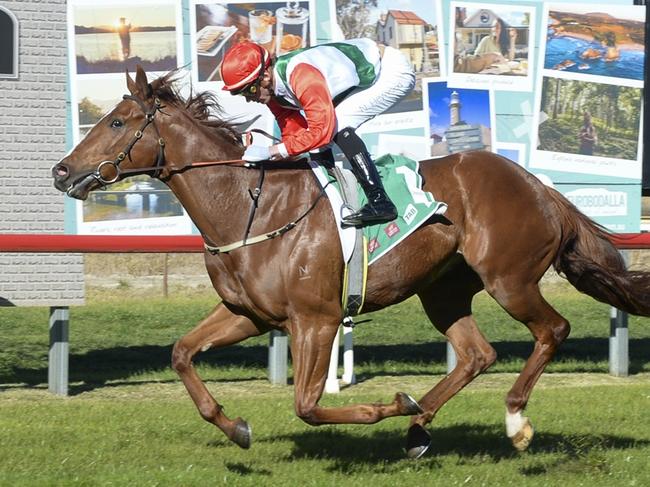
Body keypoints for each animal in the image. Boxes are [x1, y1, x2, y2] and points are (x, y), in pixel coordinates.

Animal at [50, 68, 648, 462]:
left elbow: (307, 405)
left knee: (553, 329)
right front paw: (236, 427)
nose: (62, 171)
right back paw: (420, 429)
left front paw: (390, 406)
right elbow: (181, 354)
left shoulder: (315, 319)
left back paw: (513, 420)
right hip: (444, 290)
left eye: (118, 121)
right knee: (477, 354)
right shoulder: (249, 314)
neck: (248, 205)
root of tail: (540, 186)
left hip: (510, 278)